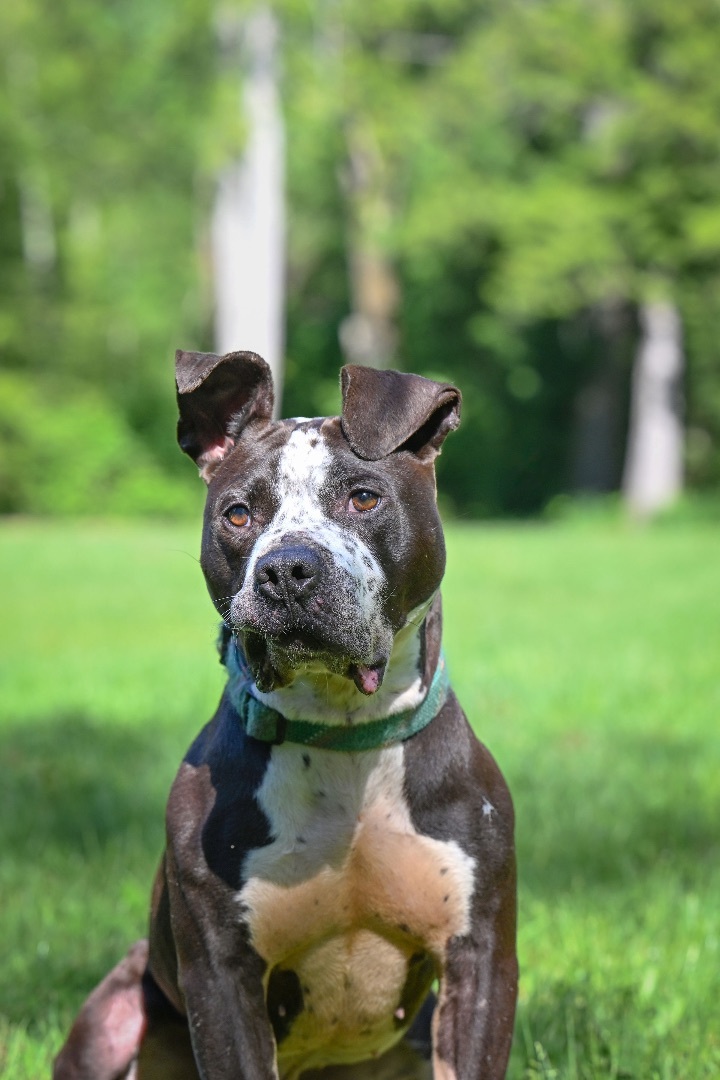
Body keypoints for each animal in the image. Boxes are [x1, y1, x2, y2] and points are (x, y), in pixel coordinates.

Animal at [56, 354, 518, 1080]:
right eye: (238, 513)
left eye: (364, 498)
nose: (287, 569)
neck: (344, 736)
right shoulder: (223, 976)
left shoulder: (482, 963)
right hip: (113, 1015)